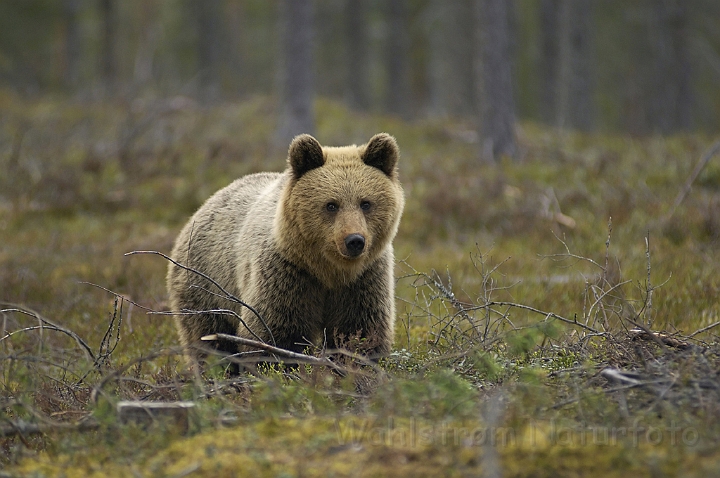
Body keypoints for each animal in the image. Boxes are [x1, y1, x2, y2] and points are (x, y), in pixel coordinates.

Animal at [168, 133, 404, 364]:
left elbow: (359, 334)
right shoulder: (287, 275)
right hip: (206, 286)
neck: (328, 271)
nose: (354, 240)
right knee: (209, 339)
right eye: (331, 205)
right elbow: (276, 336)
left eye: (365, 203)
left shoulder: (363, 281)